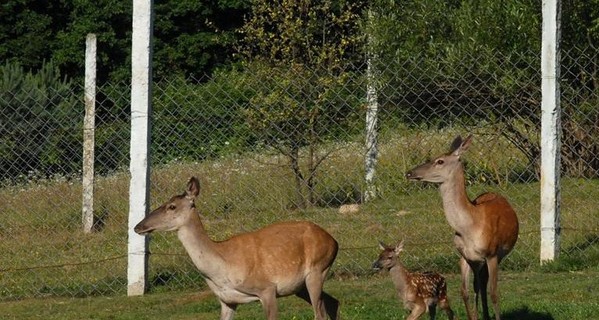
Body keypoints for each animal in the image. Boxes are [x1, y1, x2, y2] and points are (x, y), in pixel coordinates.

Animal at [137, 178, 342, 320]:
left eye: (172, 206)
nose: (138, 226)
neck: (222, 267)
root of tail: (334, 241)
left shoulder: (267, 288)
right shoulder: (227, 300)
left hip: (317, 268)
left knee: (320, 314)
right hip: (299, 285)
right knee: (333, 303)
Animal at [408, 135, 520, 320]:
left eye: (440, 161)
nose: (409, 172)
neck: (469, 228)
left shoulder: (492, 253)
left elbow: (494, 293)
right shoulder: (464, 256)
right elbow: (464, 291)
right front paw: (473, 316)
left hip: (497, 255)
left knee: (484, 284)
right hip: (477, 261)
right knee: (479, 284)